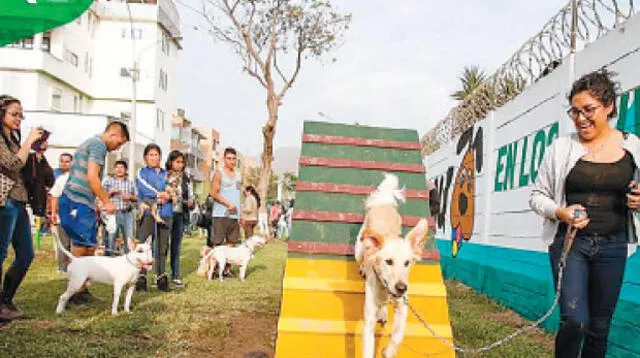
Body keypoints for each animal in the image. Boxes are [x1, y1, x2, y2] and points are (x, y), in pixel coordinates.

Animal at [356, 173, 430, 358]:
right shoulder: (368, 320)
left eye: (407, 263)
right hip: (358, 249)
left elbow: (399, 333)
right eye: (388, 261)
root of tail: (383, 202)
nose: (401, 288)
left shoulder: (402, 306)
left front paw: (389, 351)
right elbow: (368, 347)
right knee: (361, 259)